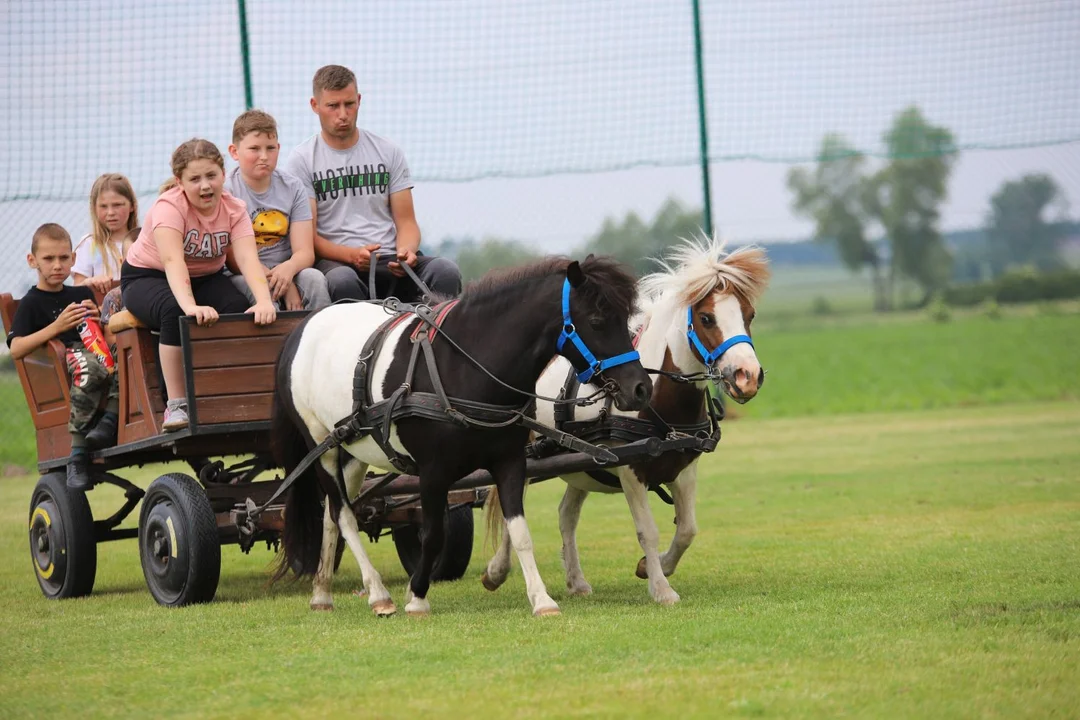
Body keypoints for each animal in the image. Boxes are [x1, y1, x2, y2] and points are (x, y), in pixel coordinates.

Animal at [274, 255, 652, 617]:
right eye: (598, 320)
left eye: (626, 318)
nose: (641, 388)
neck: (465, 367)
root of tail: (303, 327)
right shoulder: (432, 472)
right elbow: (433, 534)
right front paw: (417, 597)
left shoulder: (510, 461)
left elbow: (520, 531)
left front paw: (541, 599)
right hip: (321, 445)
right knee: (344, 515)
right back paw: (378, 594)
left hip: (353, 449)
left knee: (331, 514)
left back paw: (322, 592)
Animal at [481, 239, 768, 604]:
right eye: (706, 318)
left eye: (749, 315)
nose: (748, 377)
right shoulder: (632, 472)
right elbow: (648, 530)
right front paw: (661, 588)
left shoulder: (685, 469)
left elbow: (687, 529)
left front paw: (653, 567)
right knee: (509, 506)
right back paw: (496, 571)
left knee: (566, 515)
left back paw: (576, 580)